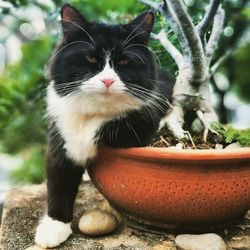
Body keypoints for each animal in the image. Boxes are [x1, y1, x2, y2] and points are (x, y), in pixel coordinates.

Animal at [34, 3, 174, 248]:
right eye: (91, 59)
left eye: (124, 62)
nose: (107, 80)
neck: (94, 110)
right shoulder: (58, 138)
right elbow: (59, 181)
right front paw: (54, 226)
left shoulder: (144, 123)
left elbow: (106, 126)